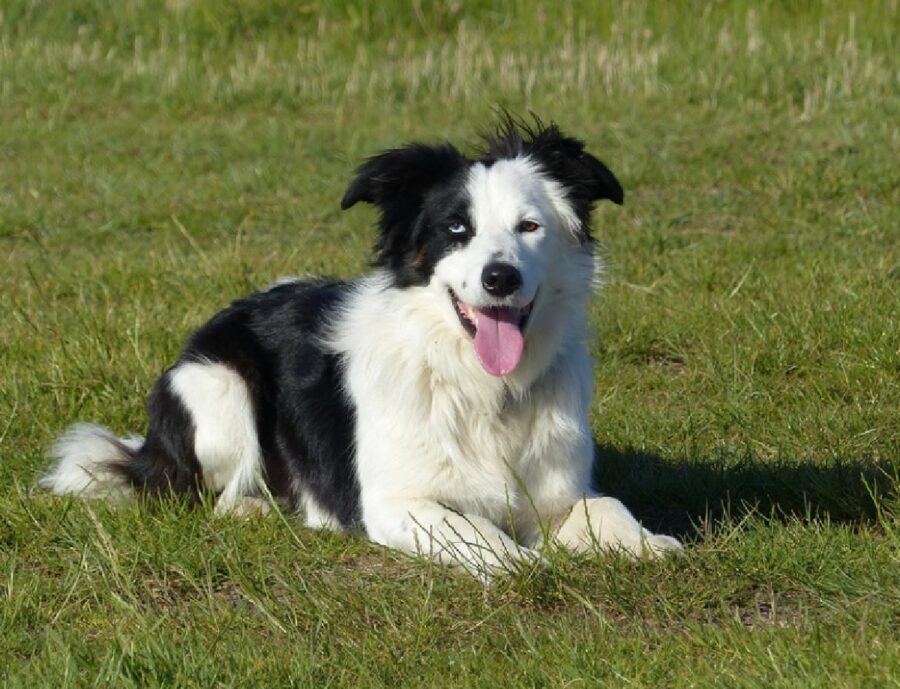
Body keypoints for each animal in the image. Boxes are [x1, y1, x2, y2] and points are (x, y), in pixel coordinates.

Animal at [38, 118, 680, 576]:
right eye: (455, 229)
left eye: (530, 226)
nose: (500, 278)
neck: (481, 390)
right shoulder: (393, 503)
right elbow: (479, 533)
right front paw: (528, 563)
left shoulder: (559, 492)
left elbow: (607, 506)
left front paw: (648, 543)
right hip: (216, 386)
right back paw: (255, 507)